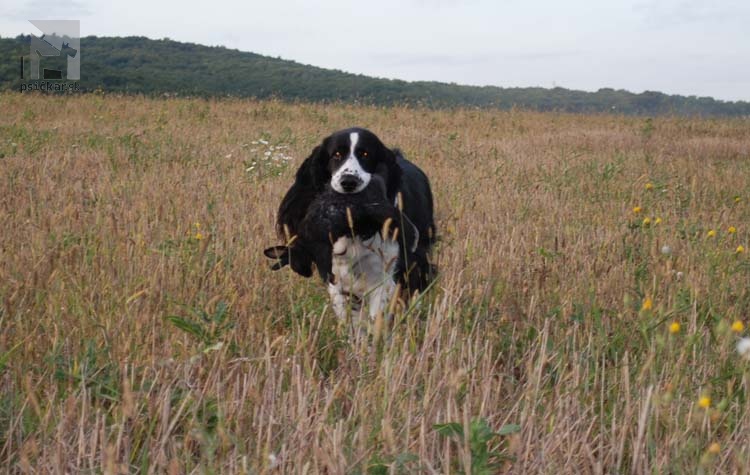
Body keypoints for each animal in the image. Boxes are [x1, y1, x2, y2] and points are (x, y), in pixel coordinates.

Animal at [266, 127, 438, 324]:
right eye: (336, 154)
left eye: (365, 154)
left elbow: (376, 316)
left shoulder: (385, 273)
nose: (349, 181)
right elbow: (346, 314)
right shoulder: (335, 275)